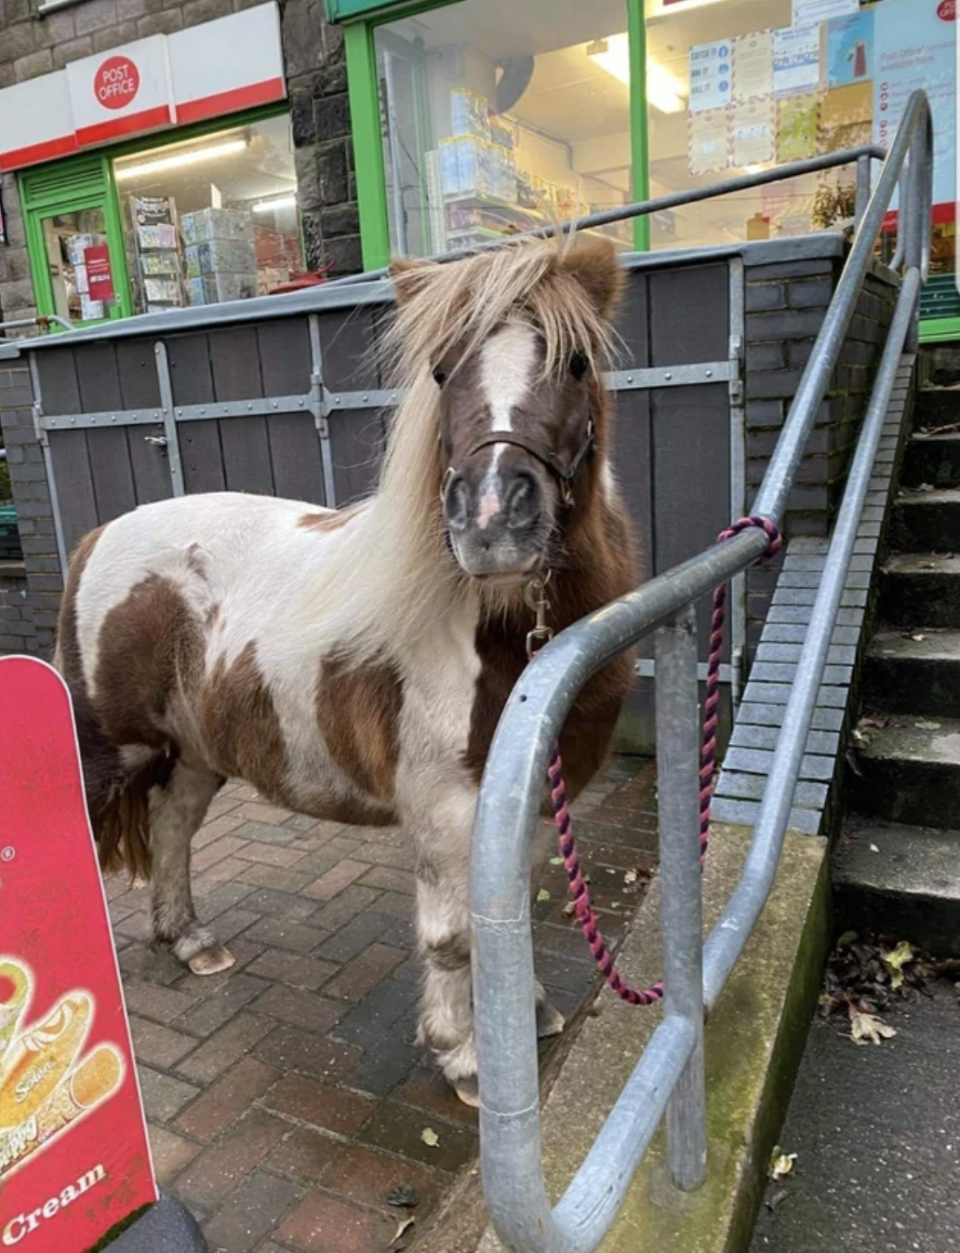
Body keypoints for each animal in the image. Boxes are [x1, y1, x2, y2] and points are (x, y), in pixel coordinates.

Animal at [52, 233, 639, 1097]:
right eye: (440, 371)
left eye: (572, 363)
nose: (492, 520)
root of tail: (101, 536)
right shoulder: (444, 807)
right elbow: (456, 935)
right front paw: (467, 1058)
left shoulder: (527, 799)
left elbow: (510, 916)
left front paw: (525, 1014)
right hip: (105, 751)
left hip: (191, 753)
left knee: (172, 827)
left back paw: (189, 940)